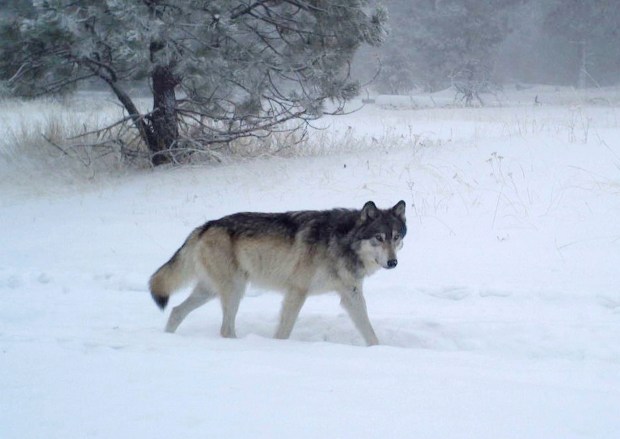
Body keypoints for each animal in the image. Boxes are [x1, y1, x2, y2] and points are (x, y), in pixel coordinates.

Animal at [147, 200, 404, 348]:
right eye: (379, 238)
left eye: (396, 237)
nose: (393, 262)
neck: (341, 241)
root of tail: (205, 226)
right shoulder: (297, 291)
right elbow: (284, 330)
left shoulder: (351, 295)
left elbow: (369, 331)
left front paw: (379, 350)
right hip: (234, 290)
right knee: (225, 329)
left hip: (210, 291)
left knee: (176, 311)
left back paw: (168, 338)